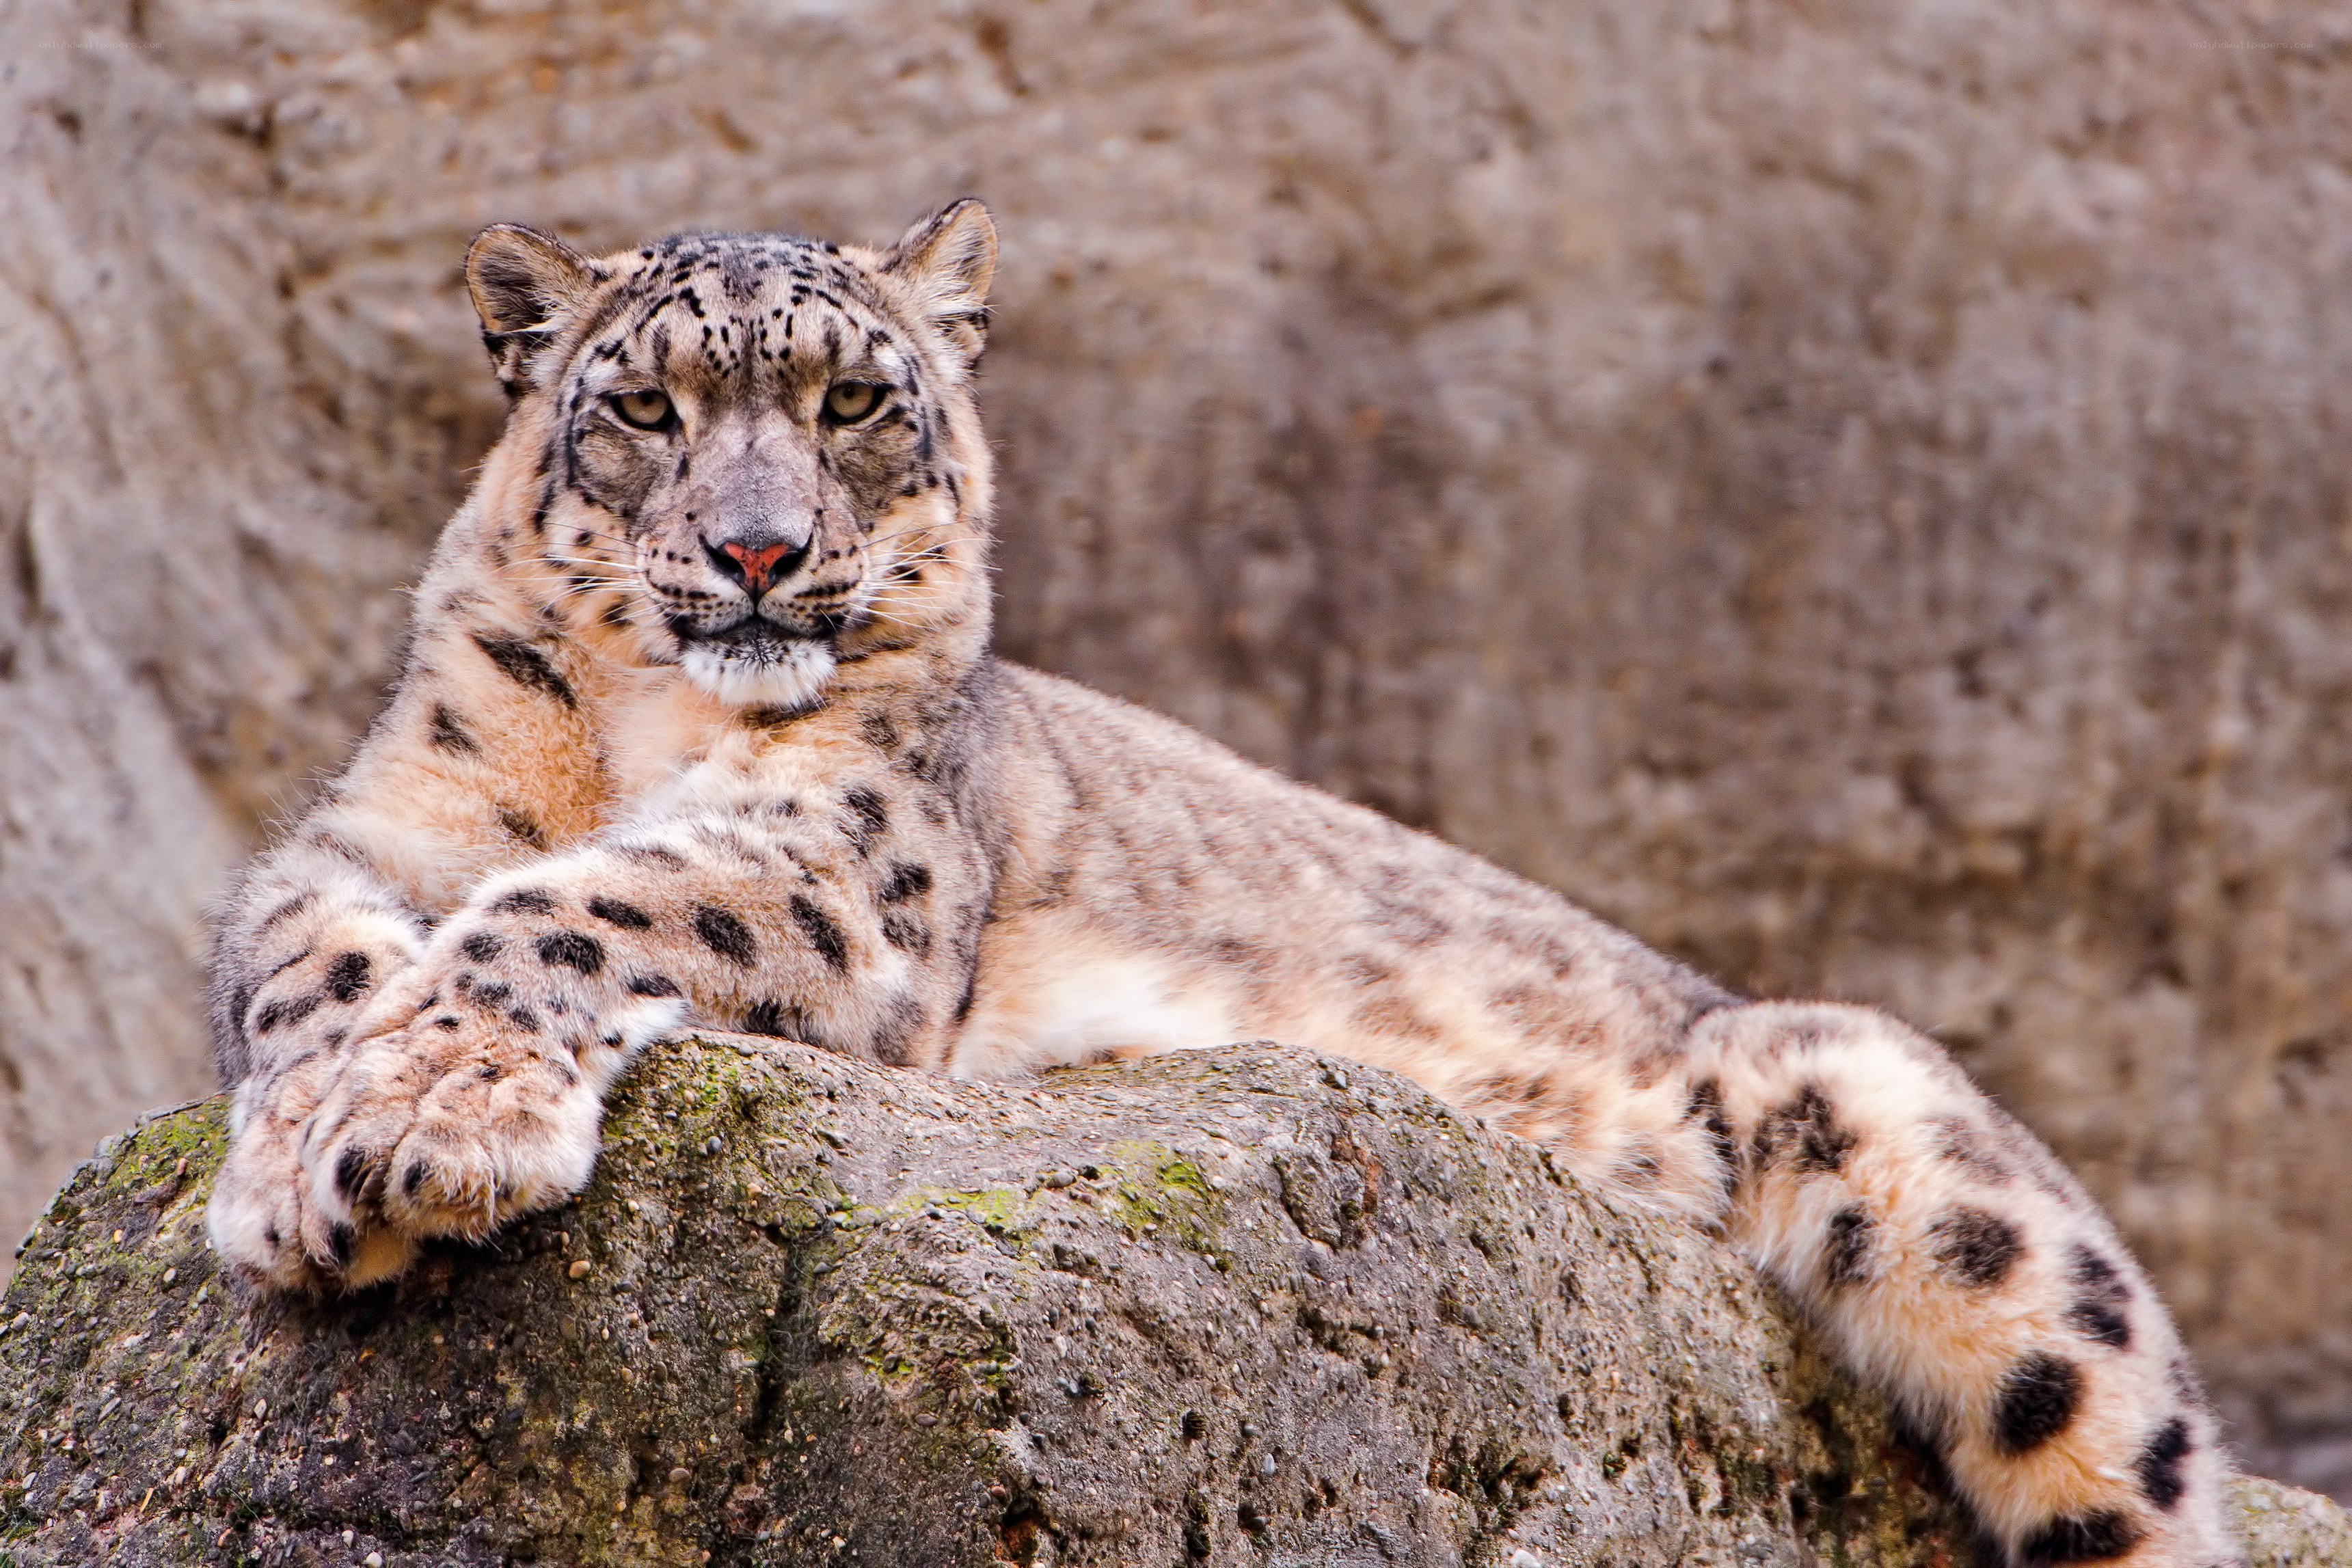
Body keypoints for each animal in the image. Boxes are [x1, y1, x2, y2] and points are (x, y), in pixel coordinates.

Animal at [202, 200, 2240, 1567]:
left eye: (857, 401)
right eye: (646, 409)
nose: (760, 550)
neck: (631, 730)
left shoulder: (857, 858)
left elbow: (584, 899)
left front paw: (420, 1123)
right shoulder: (382, 820)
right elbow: (293, 945)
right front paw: (304, 1139)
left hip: (1925, 1161)